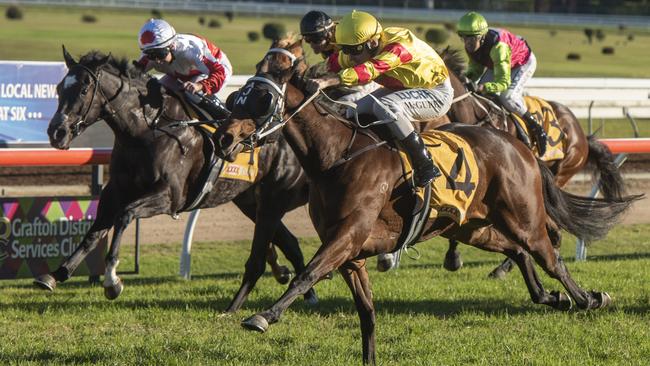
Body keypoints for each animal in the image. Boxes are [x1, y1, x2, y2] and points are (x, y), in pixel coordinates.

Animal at [438, 48, 624, 278]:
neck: (474, 116)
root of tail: (581, 134)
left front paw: (454, 256)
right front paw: (452, 256)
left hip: (560, 171)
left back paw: (505, 267)